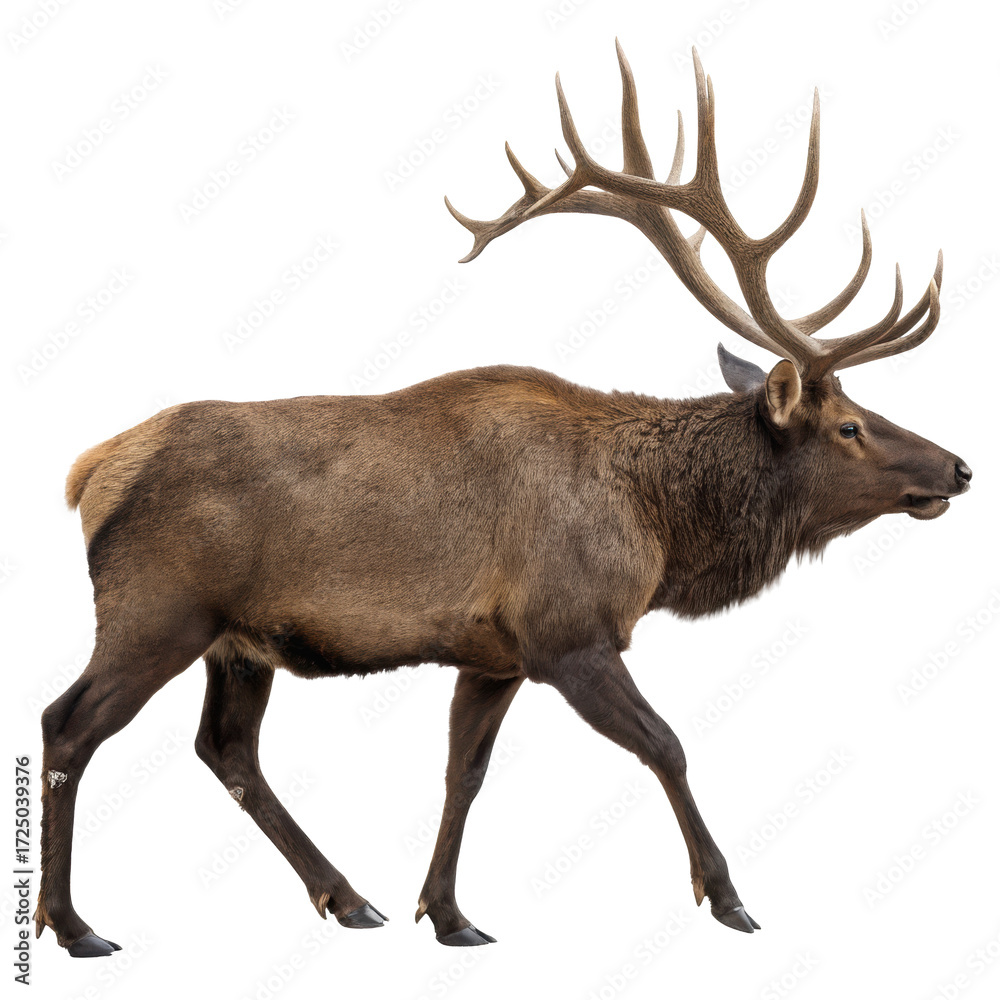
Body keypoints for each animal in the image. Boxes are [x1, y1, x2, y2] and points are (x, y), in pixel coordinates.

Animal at [36, 42, 971, 957]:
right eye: (850, 426)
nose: (959, 468)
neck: (661, 528)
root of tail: (89, 471)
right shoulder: (569, 632)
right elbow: (666, 745)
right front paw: (728, 897)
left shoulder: (495, 655)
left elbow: (466, 773)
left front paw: (448, 914)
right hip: (157, 612)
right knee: (67, 723)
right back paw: (74, 925)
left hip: (239, 642)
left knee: (227, 749)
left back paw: (349, 898)